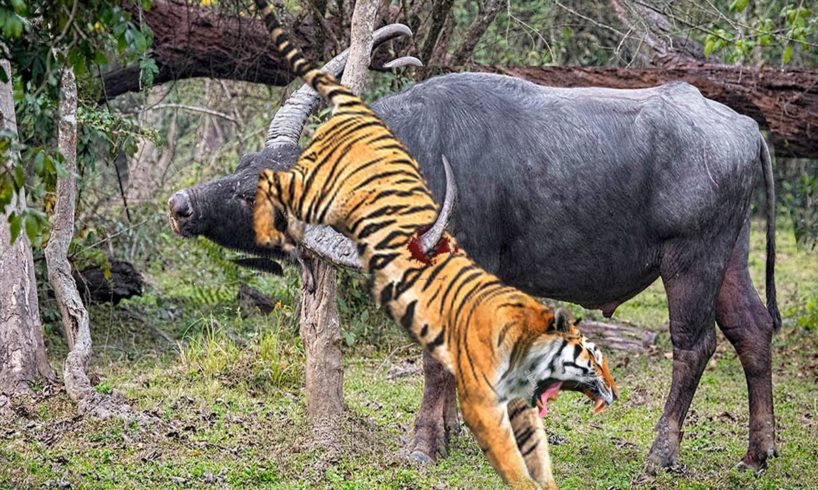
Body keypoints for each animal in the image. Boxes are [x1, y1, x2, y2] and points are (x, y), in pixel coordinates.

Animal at [167, 68, 776, 470]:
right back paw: (759, 450)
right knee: (752, 330)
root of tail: (746, 129)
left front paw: (422, 445)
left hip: (690, 261)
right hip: (731, 257)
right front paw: (452, 431)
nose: (181, 205)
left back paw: (661, 453)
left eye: (253, 189)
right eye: (245, 164)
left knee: (694, 346)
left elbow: (435, 361)